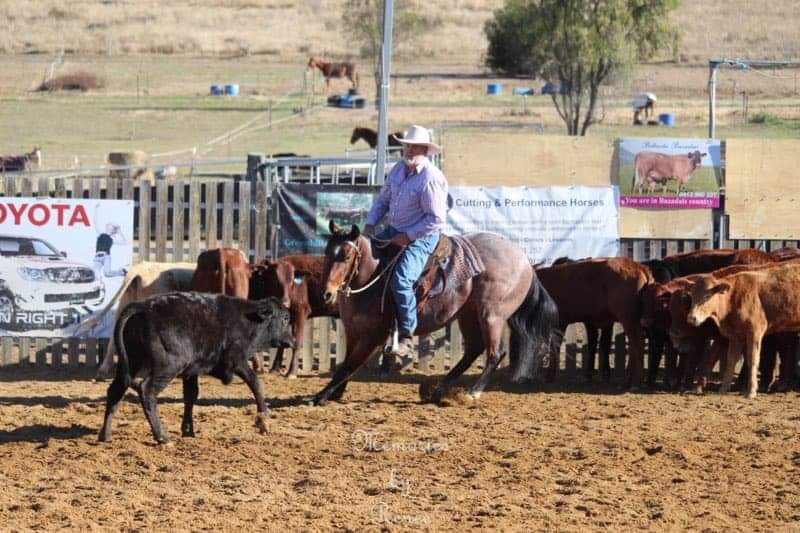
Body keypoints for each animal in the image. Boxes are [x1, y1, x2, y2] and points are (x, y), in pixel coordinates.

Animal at [98, 293, 293, 444]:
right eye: (285, 318)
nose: (292, 341)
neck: (247, 319)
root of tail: (143, 307)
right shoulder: (236, 360)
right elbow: (255, 382)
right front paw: (263, 419)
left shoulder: (192, 371)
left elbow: (191, 396)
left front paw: (188, 430)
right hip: (167, 367)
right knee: (147, 390)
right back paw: (162, 436)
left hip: (132, 361)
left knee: (115, 391)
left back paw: (105, 435)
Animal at [306, 221, 560, 406]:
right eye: (327, 252)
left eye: (347, 256)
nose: (326, 294)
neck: (373, 276)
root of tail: (525, 262)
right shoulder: (353, 332)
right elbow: (346, 363)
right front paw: (334, 393)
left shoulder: (372, 337)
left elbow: (348, 366)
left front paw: (319, 397)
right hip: (468, 314)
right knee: (473, 350)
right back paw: (438, 391)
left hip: (491, 315)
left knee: (495, 353)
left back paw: (472, 393)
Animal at [681, 262, 800, 398]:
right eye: (692, 296)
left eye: (707, 296)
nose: (691, 318)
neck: (734, 297)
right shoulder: (735, 335)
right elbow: (731, 360)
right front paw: (723, 389)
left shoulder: (755, 331)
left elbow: (752, 359)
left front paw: (751, 391)